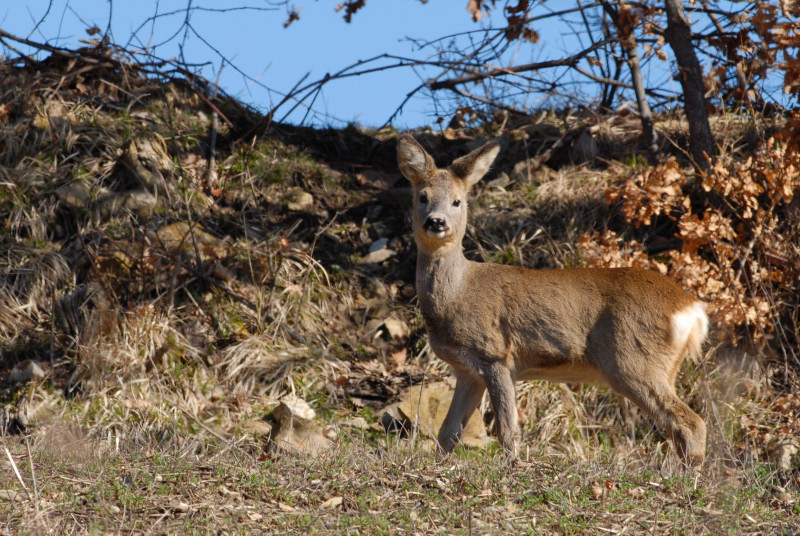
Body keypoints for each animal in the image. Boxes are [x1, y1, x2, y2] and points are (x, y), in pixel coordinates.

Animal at [396, 134, 708, 468]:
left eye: (457, 201)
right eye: (422, 197)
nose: (436, 222)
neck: (456, 294)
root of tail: (692, 310)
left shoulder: (495, 353)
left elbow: (507, 428)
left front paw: (512, 466)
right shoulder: (467, 371)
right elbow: (448, 432)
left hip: (635, 359)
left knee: (690, 423)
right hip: (661, 366)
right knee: (678, 427)